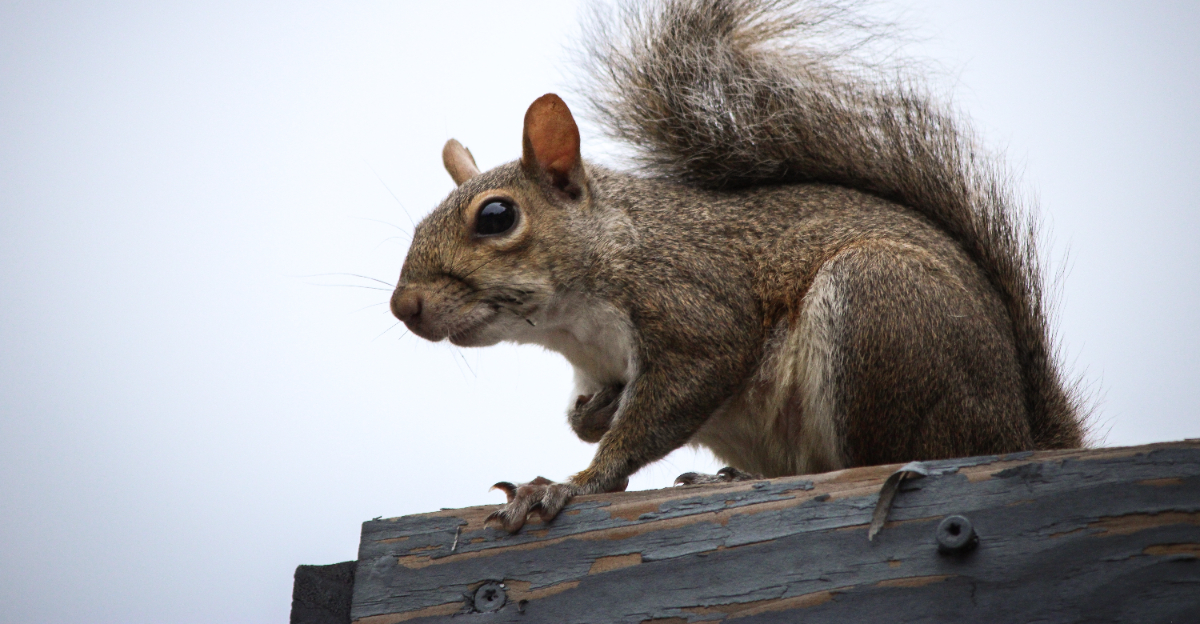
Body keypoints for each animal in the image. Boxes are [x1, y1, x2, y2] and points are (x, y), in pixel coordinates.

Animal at [390, 0, 1086, 532]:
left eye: (496, 216)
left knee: (879, 458)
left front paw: (574, 484)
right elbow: (594, 413)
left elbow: (672, 400)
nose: (404, 307)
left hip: (879, 308)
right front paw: (594, 416)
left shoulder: (694, 306)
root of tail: (1017, 428)